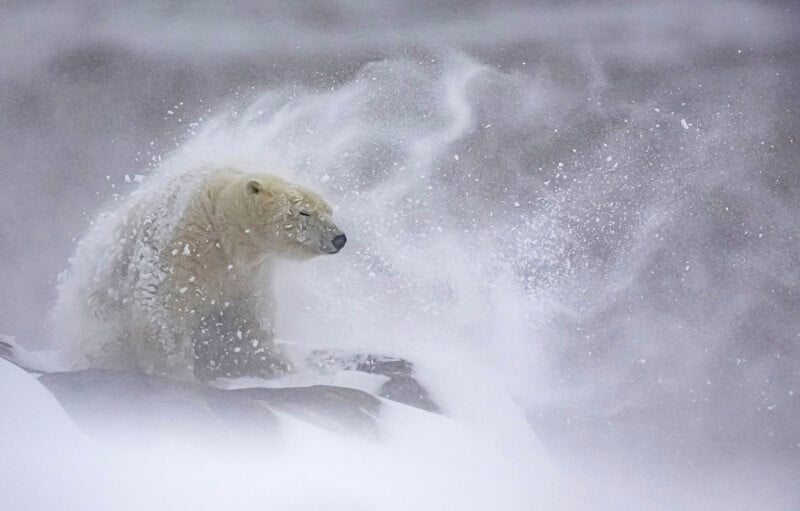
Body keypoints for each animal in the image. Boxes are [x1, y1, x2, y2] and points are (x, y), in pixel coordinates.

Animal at [52, 166, 346, 382]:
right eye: (303, 211)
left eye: (329, 210)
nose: (339, 238)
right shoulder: (183, 246)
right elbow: (161, 312)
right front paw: (177, 374)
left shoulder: (250, 275)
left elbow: (249, 324)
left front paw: (281, 367)